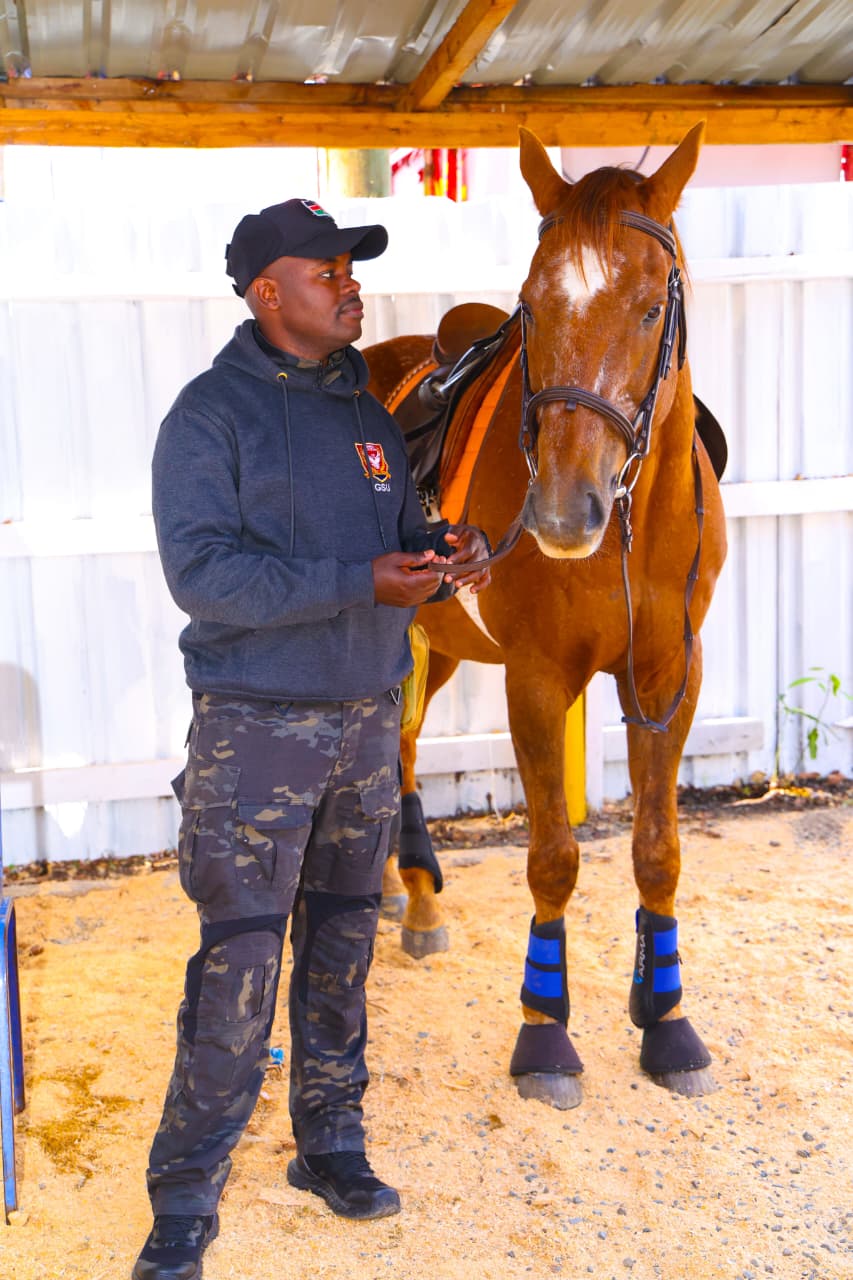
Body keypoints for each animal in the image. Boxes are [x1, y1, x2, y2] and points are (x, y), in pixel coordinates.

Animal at [365, 124, 727, 1109]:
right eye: (530, 306)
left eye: (649, 307)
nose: (565, 512)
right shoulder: (535, 680)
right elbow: (554, 857)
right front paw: (543, 1032)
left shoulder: (668, 677)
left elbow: (657, 849)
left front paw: (665, 1019)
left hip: (440, 646)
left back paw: (406, 893)